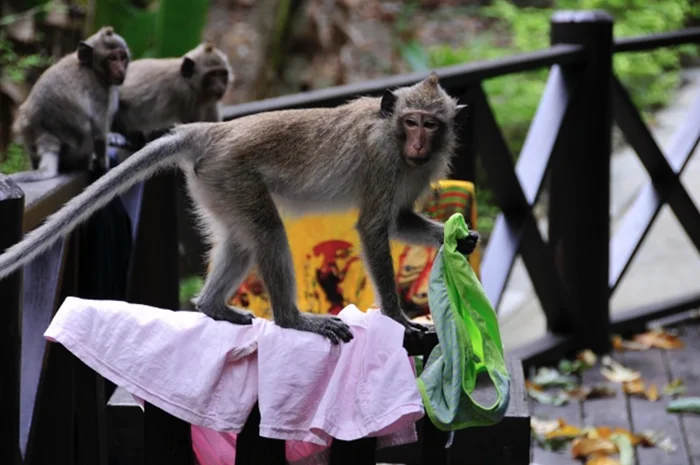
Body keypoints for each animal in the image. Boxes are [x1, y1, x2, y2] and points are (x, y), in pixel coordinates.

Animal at [0, 72, 479, 345]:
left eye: (431, 125)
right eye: (411, 122)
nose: (418, 144)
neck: (397, 142)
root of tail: (210, 132)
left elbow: (399, 220)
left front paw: (459, 237)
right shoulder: (382, 158)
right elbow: (374, 228)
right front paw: (397, 317)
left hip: (215, 183)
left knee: (244, 239)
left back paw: (213, 305)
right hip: (232, 171)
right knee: (267, 231)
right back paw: (292, 320)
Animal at [9, 26, 130, 182]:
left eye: (122, 57)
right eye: (111, 59)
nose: (121, 69)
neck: (91, 68)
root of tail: (47, 138)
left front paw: (112, 137)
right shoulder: (99, 92)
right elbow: (98, 132)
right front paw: (104, 165)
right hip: (77, 151)